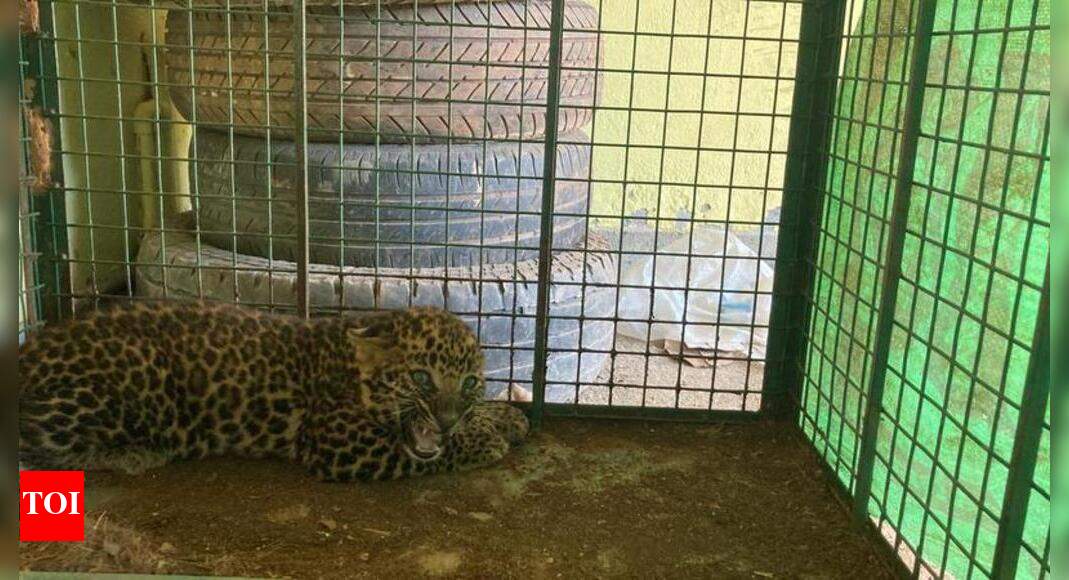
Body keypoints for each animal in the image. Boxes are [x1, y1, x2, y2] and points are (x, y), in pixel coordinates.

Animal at [17, 301, 529, 481]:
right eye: (421, 378)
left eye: (469, 383)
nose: (445, 420)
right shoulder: (337, 441)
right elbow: (421, 454)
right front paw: (486, 439)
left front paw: (503, 416)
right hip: (139, 371)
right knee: (37, 450)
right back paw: (132, 453)